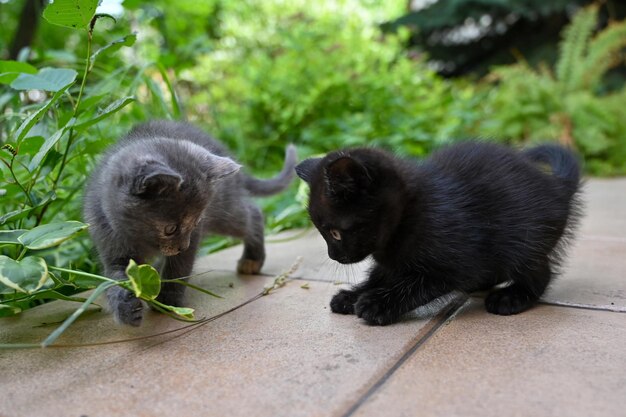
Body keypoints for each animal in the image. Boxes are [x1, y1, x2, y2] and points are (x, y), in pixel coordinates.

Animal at [84, 120, 296, 324]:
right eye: (170, 229)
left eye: (195, 222)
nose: (182, 246)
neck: (139, 237)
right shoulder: (108, 237)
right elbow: (114, 277)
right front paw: (126, 306)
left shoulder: (194, 236)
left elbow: (179, 266)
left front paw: (168, 300)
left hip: (224, 210)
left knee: (253, 214)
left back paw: (252, 259)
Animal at [296, 141, 580, 324]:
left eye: (334, 233)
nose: (333, 255)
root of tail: (557, 188)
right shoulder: (390, 261)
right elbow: (379, 276)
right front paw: (351, 296)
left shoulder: (454, 260)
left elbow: (415, 286)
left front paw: (377, 303)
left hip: (523, 240)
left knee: (540, 273)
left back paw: (512, 297)